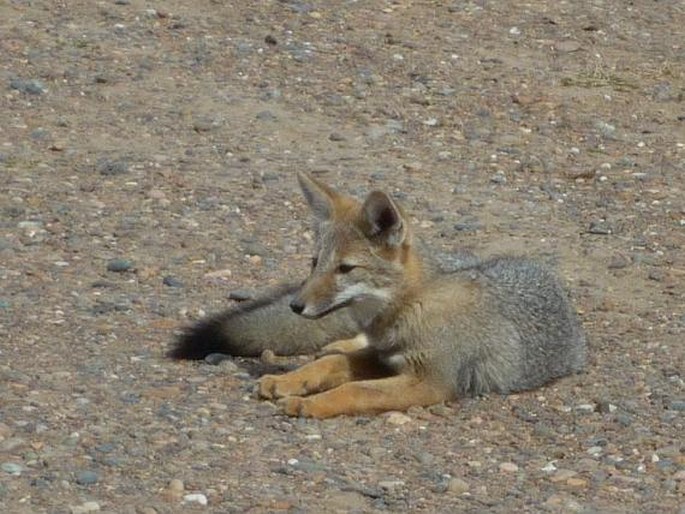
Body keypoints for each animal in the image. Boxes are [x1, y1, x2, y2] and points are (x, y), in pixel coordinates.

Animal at [168, 172, 584, 416]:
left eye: (345, 269)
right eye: (314, 263)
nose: (296, 305)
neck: (410, 307)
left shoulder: (429, 382)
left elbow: (356, 391)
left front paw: (310, 403)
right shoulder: (384, 358)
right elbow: (332, 366)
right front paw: (292, 380)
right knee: (337, 347)